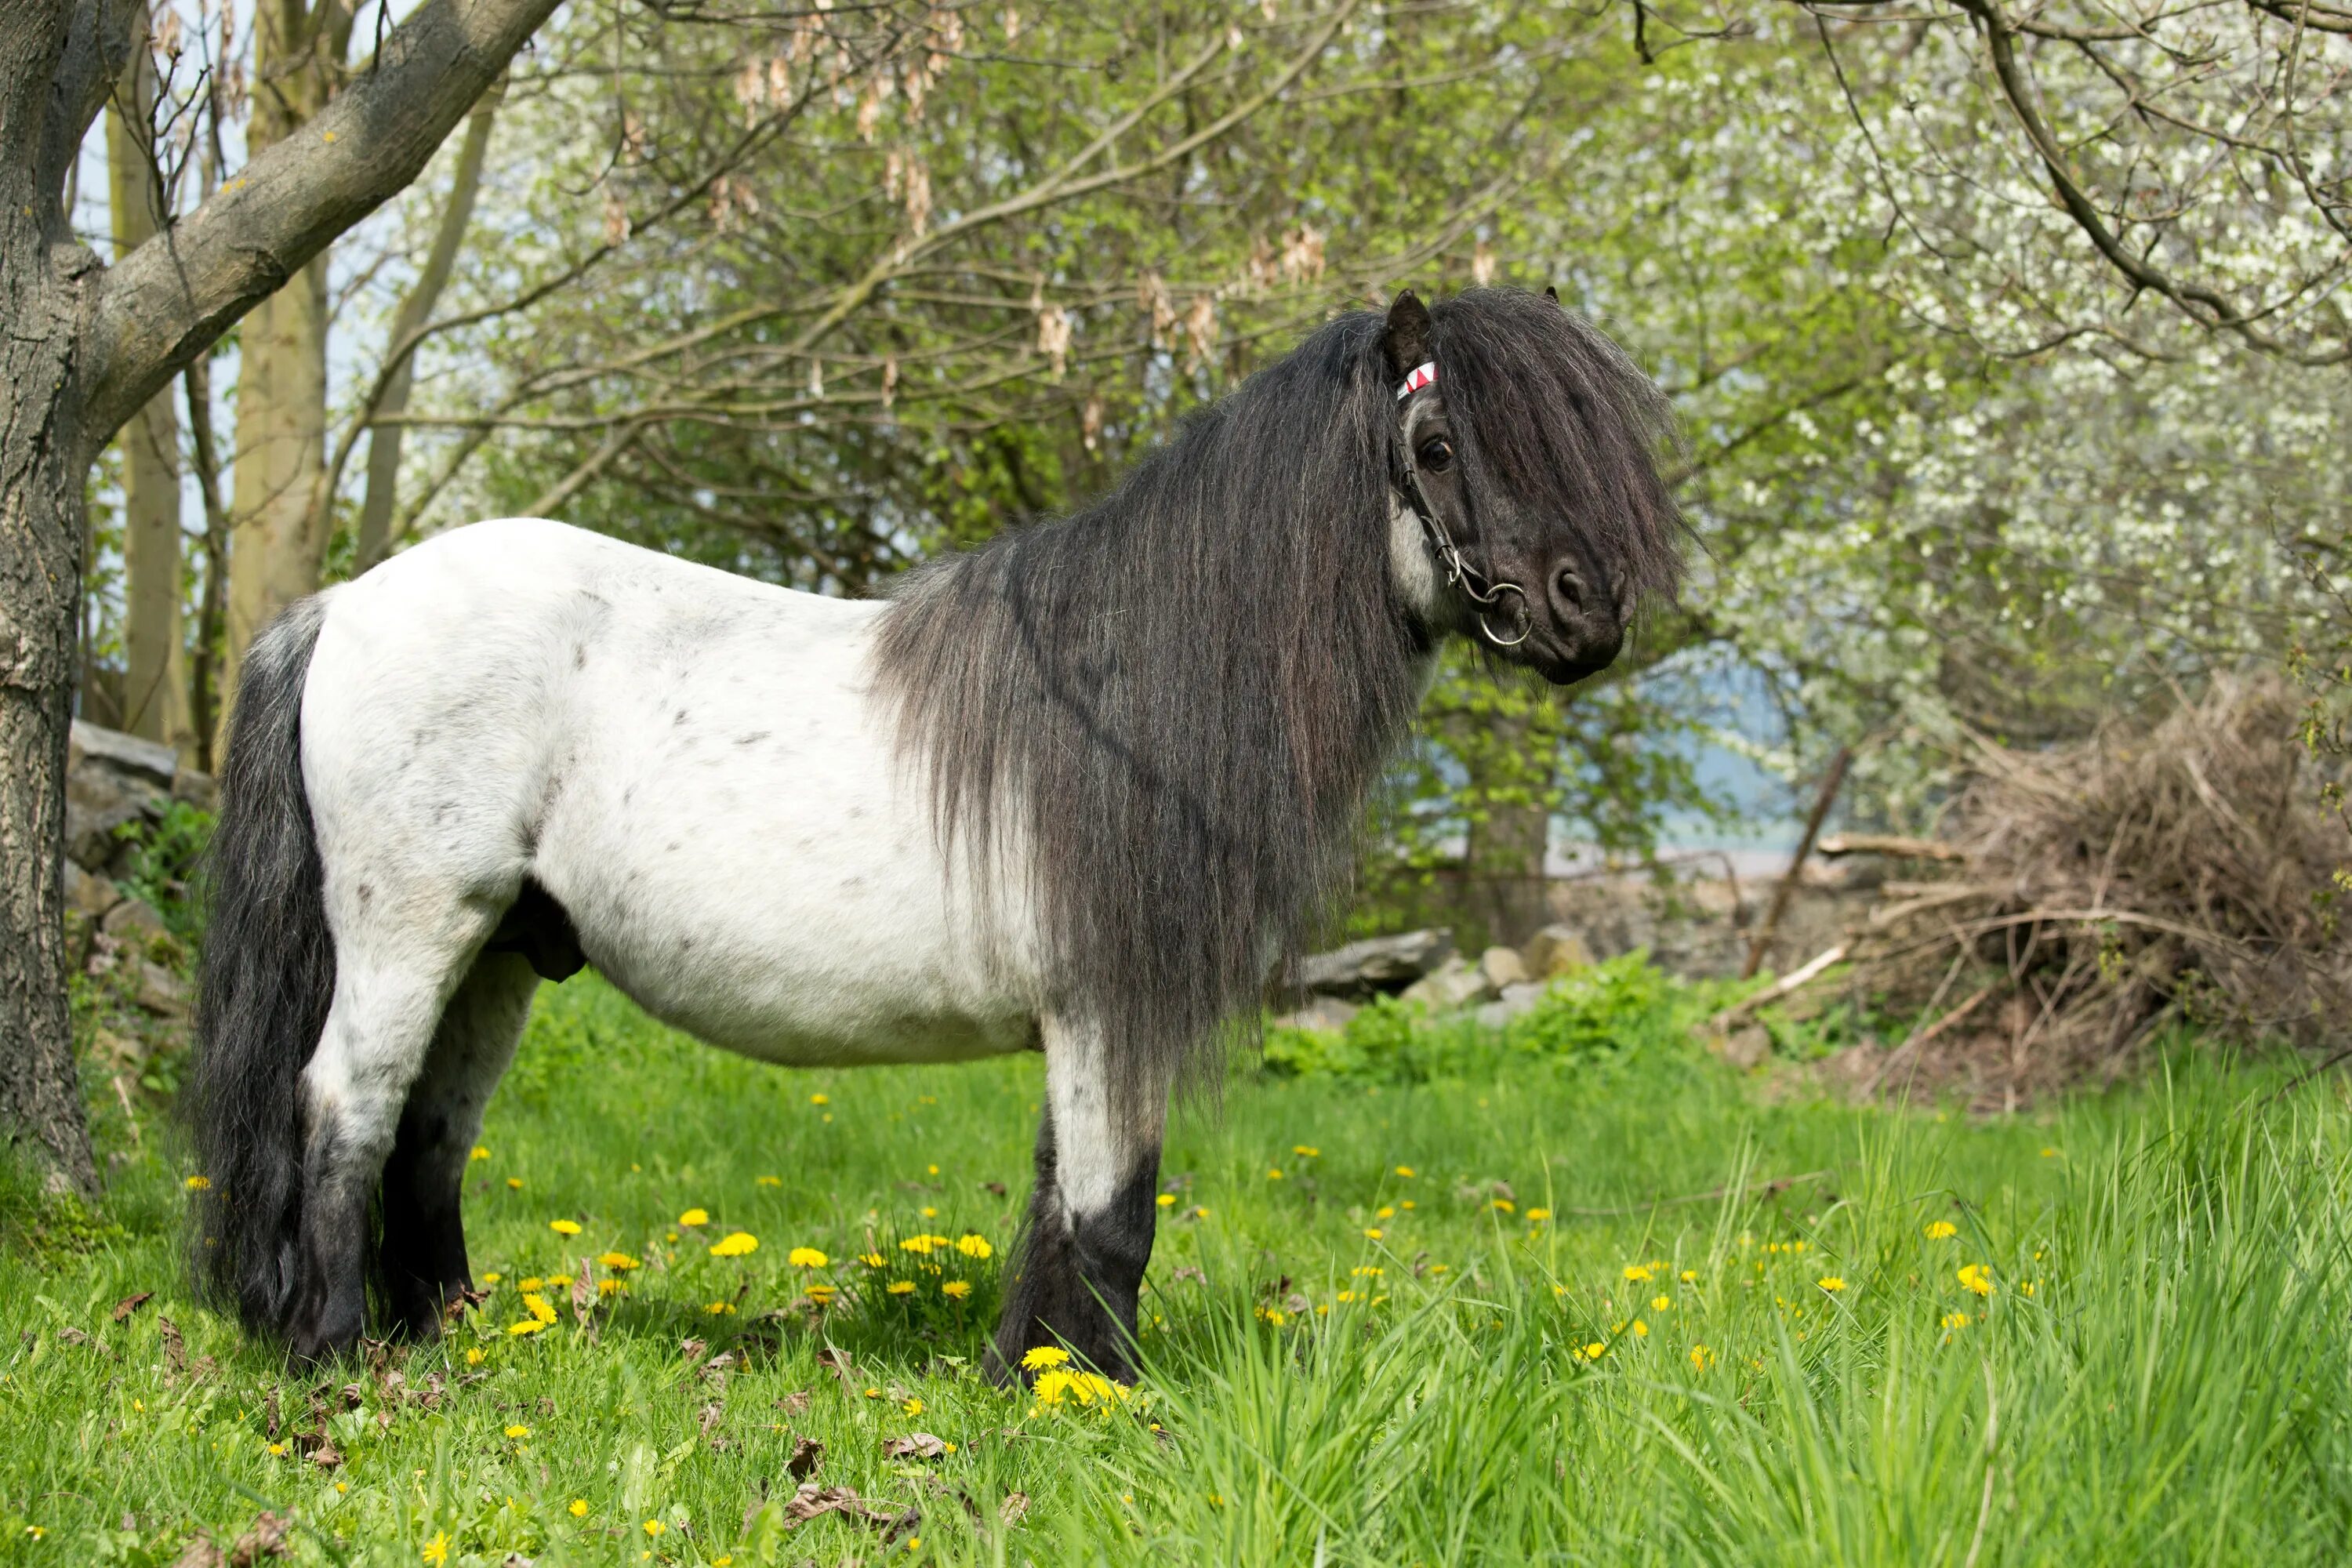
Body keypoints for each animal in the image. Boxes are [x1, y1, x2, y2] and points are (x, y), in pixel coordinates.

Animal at [193, 288, 1684, 1382]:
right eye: (1437, 450)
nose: (1587, 611)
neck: (1131, 690)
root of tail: (343, 606)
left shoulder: (1091, 1018)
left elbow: (1060, 1203)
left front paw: (1028, 1372)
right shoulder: (1109, 1006)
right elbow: (1112, 1215)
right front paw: (1099, 1397)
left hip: (503, 952)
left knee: (430, 1139)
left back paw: (448, 1341)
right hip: (413, 930)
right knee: (345, 1108)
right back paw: (337, 1359)